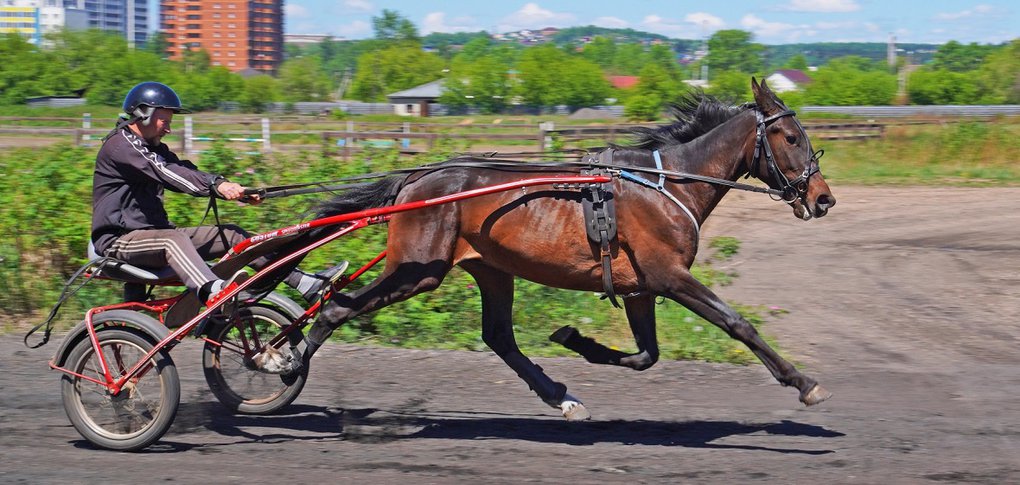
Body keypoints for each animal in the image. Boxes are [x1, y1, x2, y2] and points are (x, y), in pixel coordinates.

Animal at [289, 79, 836, 420]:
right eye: (791, 136)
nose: (823, 197)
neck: (665, 185)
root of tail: (418, 176)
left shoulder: (641, 287)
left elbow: (647, 355)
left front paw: (576, 339)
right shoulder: (668, 275)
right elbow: (737, 323)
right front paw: (803, 382)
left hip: (490, 268)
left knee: (499, 337)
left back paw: (561, 397)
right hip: (417, 268)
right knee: (335, 307)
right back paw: (283, 362)